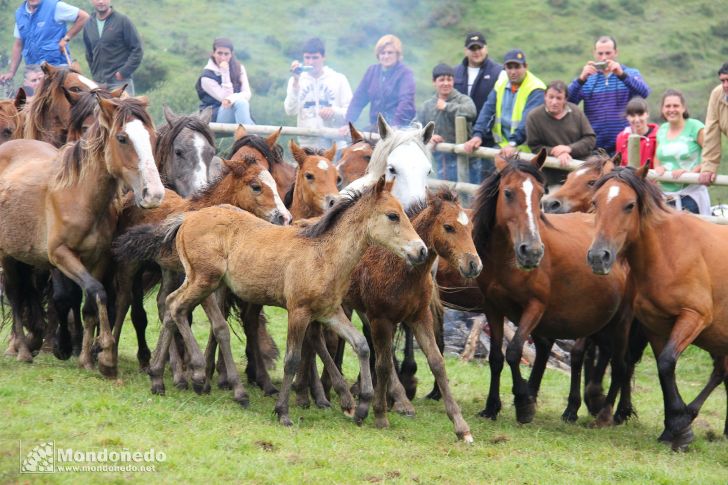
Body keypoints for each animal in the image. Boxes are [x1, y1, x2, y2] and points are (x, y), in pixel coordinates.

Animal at [0, 94, 164, 376]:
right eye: (122, 138)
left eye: (151, 137)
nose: (153, 194)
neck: (79, 195)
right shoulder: (61, 255)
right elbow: (96, 292)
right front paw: (106, 354)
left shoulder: (99, 259)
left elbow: (89, 305)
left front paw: (87, 357)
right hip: (6, 255)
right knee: (14, 294)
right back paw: (22, 350)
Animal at [152, 178, 426, 424]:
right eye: (393, 215)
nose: (421, 250)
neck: (323, 255)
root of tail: (188, 219)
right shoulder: (298, 312)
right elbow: (292, 360)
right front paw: (282, 411)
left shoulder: (329, 312)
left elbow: (361, 345)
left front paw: (361, 407)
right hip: (204, 280)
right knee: (176, 307)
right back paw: (198, 375)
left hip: (204, 282)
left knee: (172, 306)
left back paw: (159, 379)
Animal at [344, 188, 480, 438]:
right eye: (448, 227)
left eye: (470, 228)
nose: (474, 264)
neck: (401, 268)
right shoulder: (381, 319)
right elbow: (384, 364)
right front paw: (380, 415)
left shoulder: (420, 317)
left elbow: (437, 363)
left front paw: (461, 426)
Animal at [472, 150, 632, 424]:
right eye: (508, 192)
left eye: (539, 192)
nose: (532, 251)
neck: (506, 259)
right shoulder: (492, 307)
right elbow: (496, 357)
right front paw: (492, 406)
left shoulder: (535, 307)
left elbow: (514, 351)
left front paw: (524, 402)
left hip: (620, 322)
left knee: (622, 365)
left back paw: (608, 412)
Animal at [584, 164, 728, 450]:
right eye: (595, 202)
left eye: (629, 205)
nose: (598, 257)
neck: (667, 252)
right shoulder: (655, 326)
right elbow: (665, 370)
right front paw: (674, 429)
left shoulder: (693, 317)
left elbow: (666, 362)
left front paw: (681, 427)